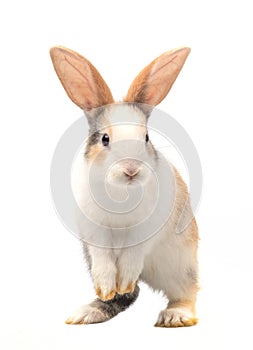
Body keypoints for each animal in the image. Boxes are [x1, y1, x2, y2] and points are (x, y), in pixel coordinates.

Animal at [50, 45, 200, 326]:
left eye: (146, 137)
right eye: (105, 139)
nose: (131, 170)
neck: (121, 192)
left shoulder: (145, 231)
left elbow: (132, 255)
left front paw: (125, 280)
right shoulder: (95, 235)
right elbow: (105, 262)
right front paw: (108, 287)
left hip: (181, 265)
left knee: (186, 292)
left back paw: (175, 316)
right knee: (126, 296)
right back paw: (90, 311)